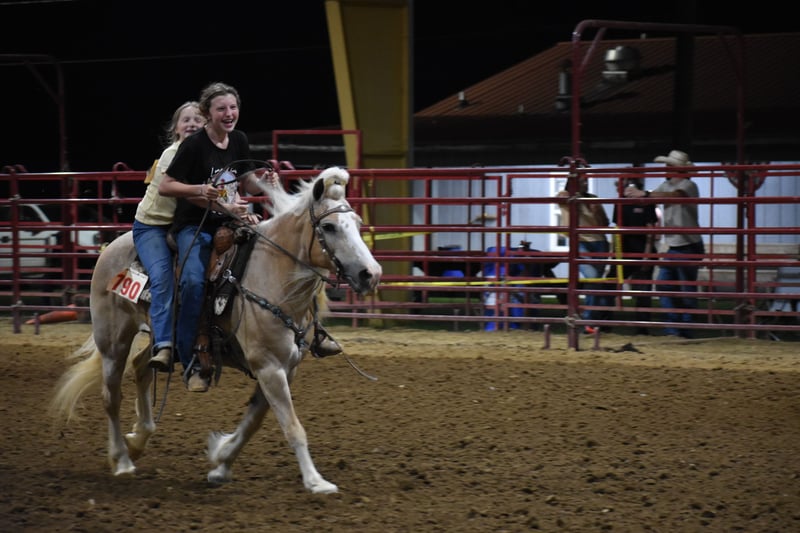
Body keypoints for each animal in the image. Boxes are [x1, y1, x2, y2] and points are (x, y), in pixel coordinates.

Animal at [49, 166, 382, 494]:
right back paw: (121, 460)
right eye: (329, 227)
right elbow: (292, 426)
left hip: (162, 338)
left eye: (357, 223)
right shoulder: (269, 365)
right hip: (113, 340)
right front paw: (315, 481)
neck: (272, 276)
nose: (372, 274)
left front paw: (221, 462)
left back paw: (138, 440)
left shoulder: (286, 367)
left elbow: (254, 420)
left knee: (143, 366)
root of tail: (109, 249)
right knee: (111, 396)